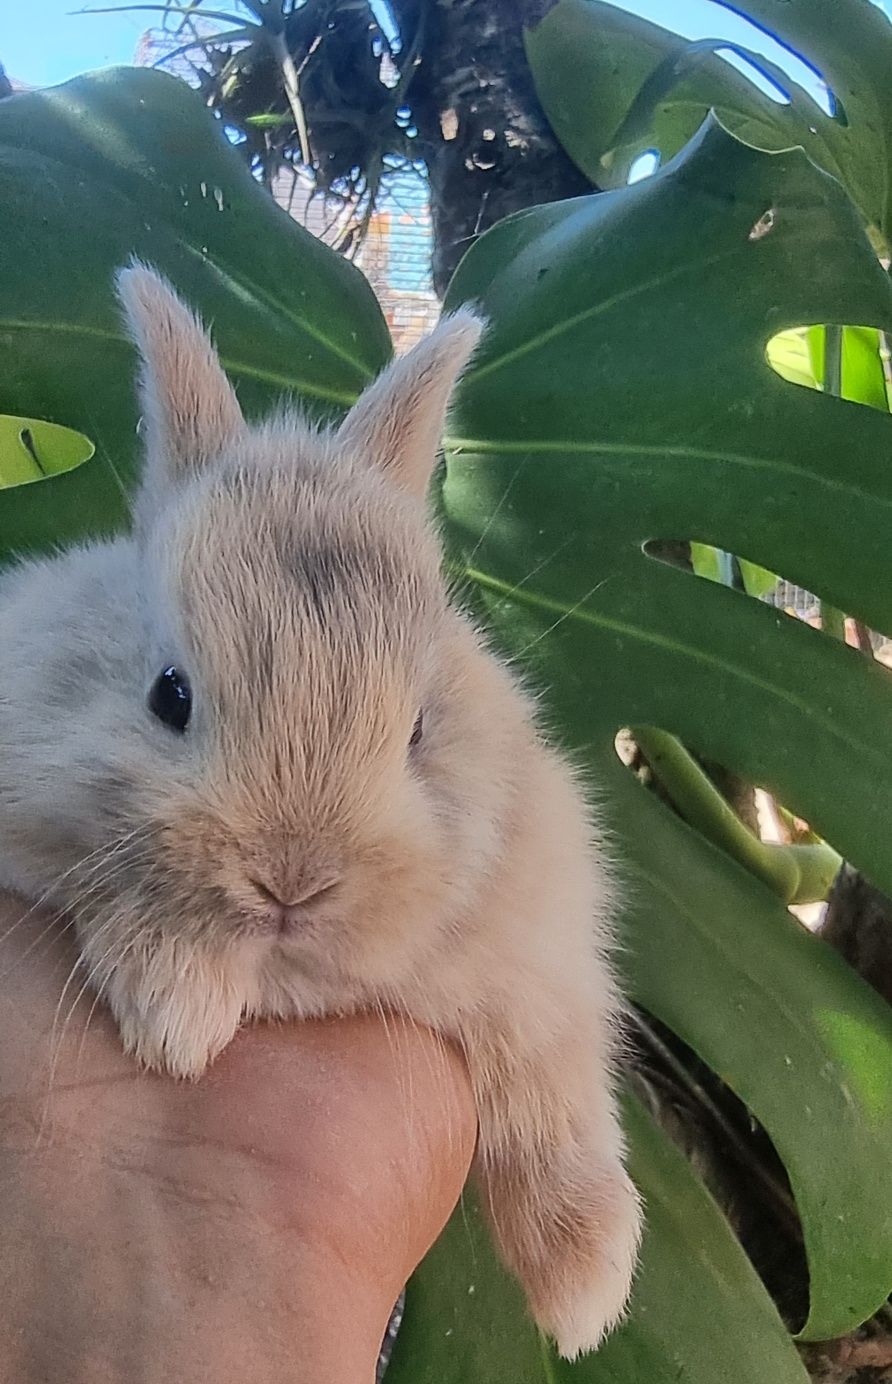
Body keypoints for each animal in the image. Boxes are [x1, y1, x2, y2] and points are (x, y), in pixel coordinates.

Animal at [0, 264, 638, 1356]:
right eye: (169, 694)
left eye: (420, 728)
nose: (292, 879)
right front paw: (180, 1012)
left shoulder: (542, 958)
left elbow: (553, 1093)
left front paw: (586, 1288)